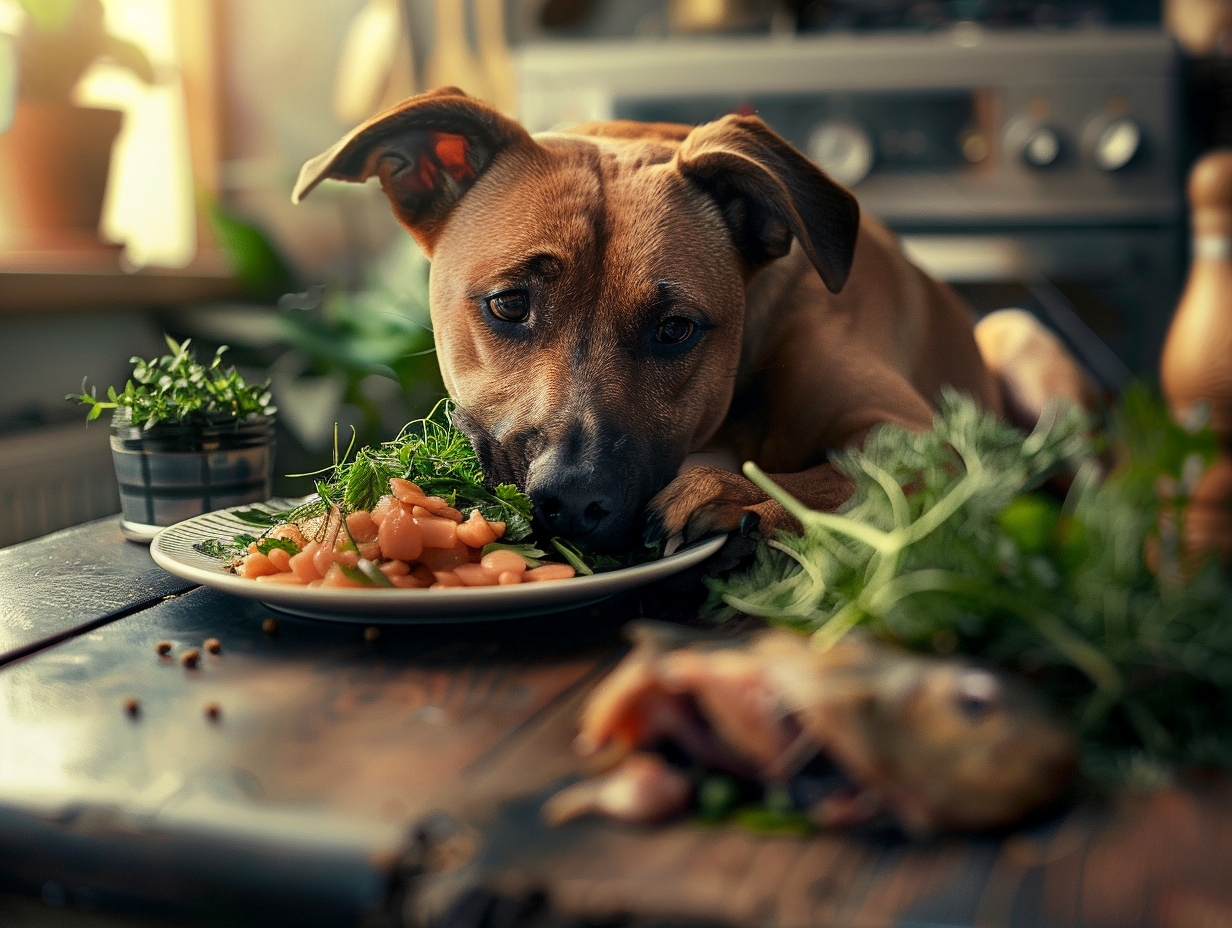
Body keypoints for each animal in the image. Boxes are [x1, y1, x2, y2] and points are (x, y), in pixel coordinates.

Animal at [295, 86, 1098, 549]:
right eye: (509, 305)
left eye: (676, 328)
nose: (574, 500)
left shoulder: (928, 440)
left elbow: (828, 474)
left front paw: (721, 491)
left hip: (1028, 349)